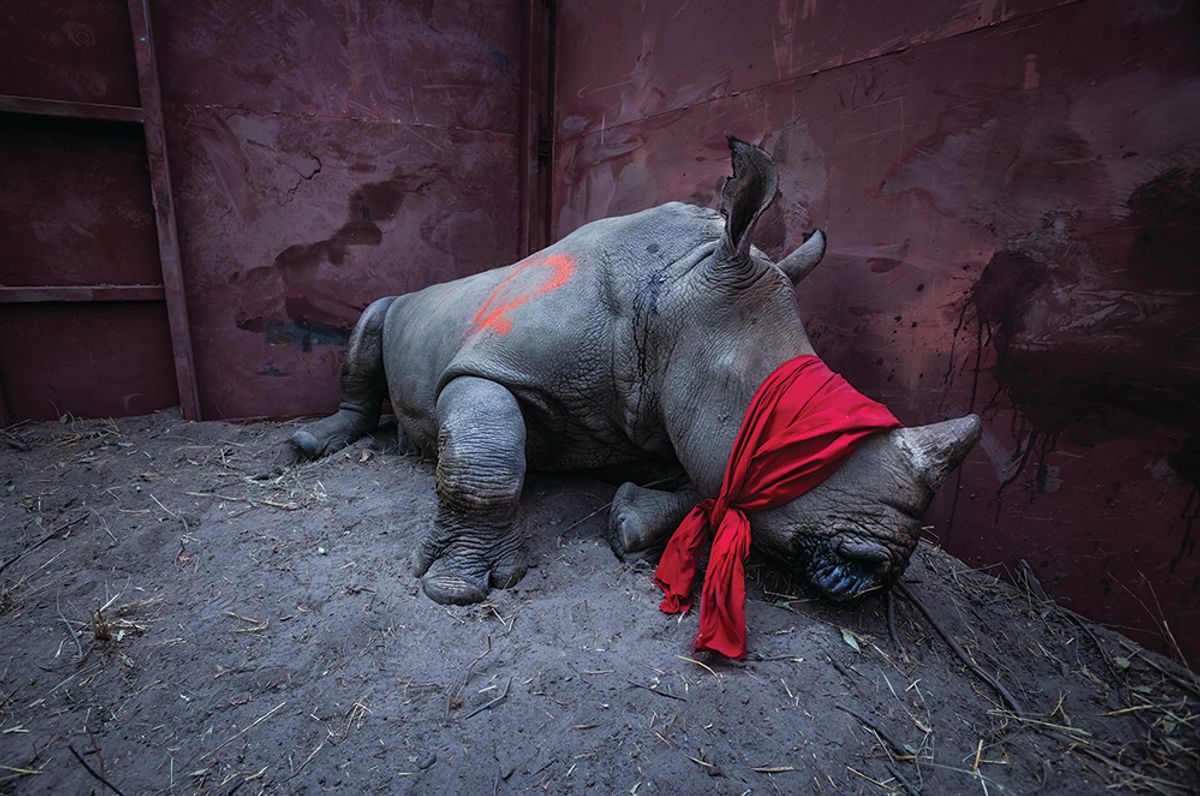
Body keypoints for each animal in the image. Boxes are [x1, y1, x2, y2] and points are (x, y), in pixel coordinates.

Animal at [287, 136, 981, 609]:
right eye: (796, 433)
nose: (878, 567)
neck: (675, 293)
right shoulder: (490, 367)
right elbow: (486, 460)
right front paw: (456, 587)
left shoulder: (673, 404)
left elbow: (705, 481)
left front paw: (629, 523)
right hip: (401, 302)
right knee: (372, 319)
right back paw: (311, 444)